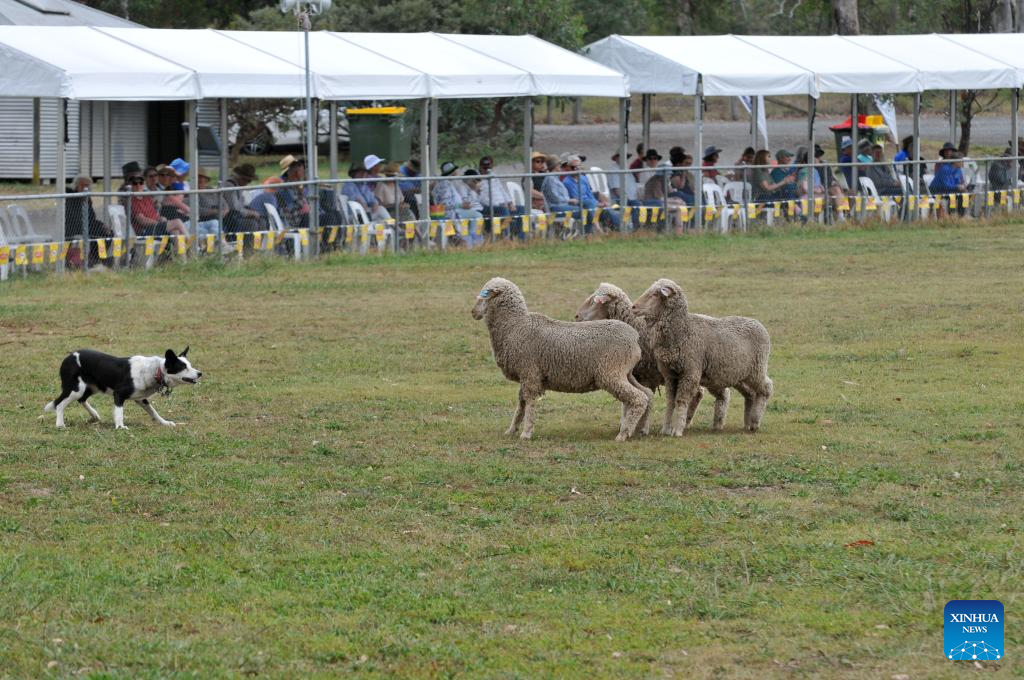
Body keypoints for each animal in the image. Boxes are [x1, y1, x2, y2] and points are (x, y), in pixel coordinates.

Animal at [468, 276, 651, 440]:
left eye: (486, 294)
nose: (473, 312)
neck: (514, 326)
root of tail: (634, 336)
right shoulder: (525, 375)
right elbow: (521, 402)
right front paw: (511, 429)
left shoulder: (530, 372)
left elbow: (529, 401)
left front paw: (526, 433)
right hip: (625, 373)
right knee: (647, 393)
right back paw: (639, 428)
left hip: (611, 372)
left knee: (638, 398)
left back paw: (624, 433)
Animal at [573, 282, 700, 436]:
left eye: (594, 301)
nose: (576, 316)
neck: (636, 327)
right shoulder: (631, 373)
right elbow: (627, 402)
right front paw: (626, 424)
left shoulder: (646, 376)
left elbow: (644, 399)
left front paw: (642, 428)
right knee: (698, 393)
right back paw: (687, 422)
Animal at [630, 280, 770, 436]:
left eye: (655, 294)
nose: (633, 307)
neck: (682, 330)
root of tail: (757, 323)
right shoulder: (670, 375)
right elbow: (670, 402)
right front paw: (666, 429)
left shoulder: (690, 372)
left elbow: (681, 401)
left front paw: (677, 430)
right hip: (739, 375)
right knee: (751, 393)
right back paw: (748, 423)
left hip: (757, 369)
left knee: (766, 388)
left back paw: (756, 421)